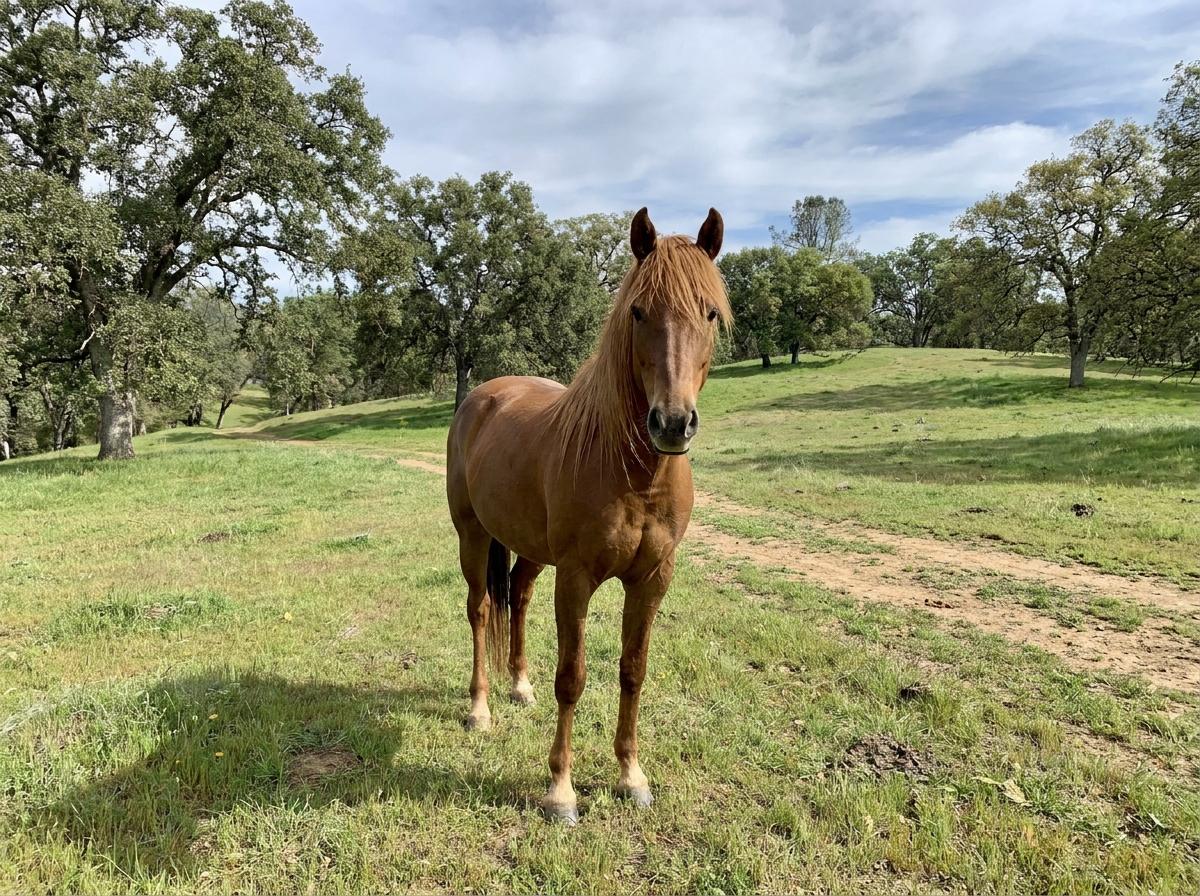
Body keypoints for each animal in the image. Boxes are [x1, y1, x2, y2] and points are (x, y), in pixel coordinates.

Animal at [445, 207, 730, 824]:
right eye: (638, 311)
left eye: (710, 312)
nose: (672, 423)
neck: (632, 473)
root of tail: (483, 395)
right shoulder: (576, 578)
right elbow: (572, 677)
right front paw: (560, 790)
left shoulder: (652, 580)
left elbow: (632, 670)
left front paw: (631, 775)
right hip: (472, 535)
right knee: (481, 610)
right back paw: (480, 709)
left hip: (530, 549)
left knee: (518, 596)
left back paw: (519, 686)